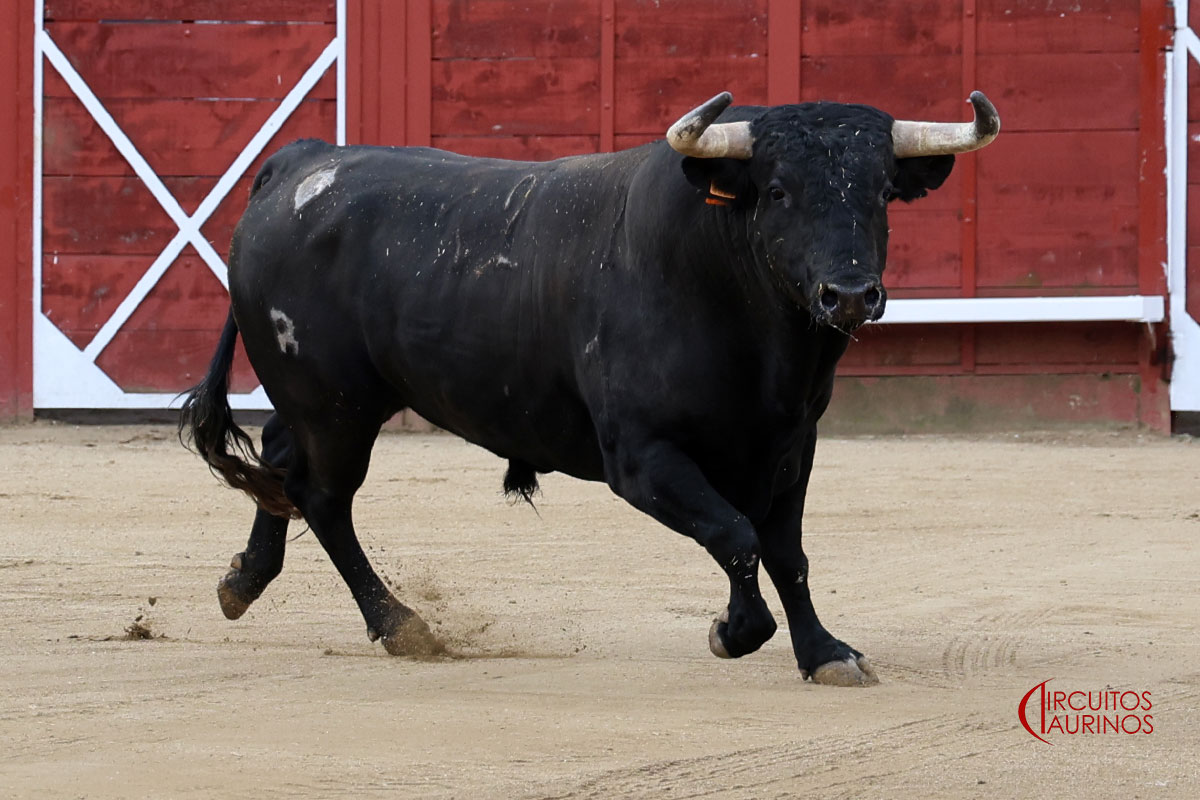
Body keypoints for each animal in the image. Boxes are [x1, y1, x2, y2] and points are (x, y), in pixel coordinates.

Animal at [181, 90, 999, 686]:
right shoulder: (641, 458)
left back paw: (243, 582)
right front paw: (733, 632)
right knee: (323, 496)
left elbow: (786, 550)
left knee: (280, 462)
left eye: (882, 192)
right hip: (335, 405)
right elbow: (736, 534)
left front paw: (825, 653)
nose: (850, 294)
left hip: (327, 399)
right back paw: (401, 624)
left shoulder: (793, 445)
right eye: (777, 191)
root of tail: (303, 161)